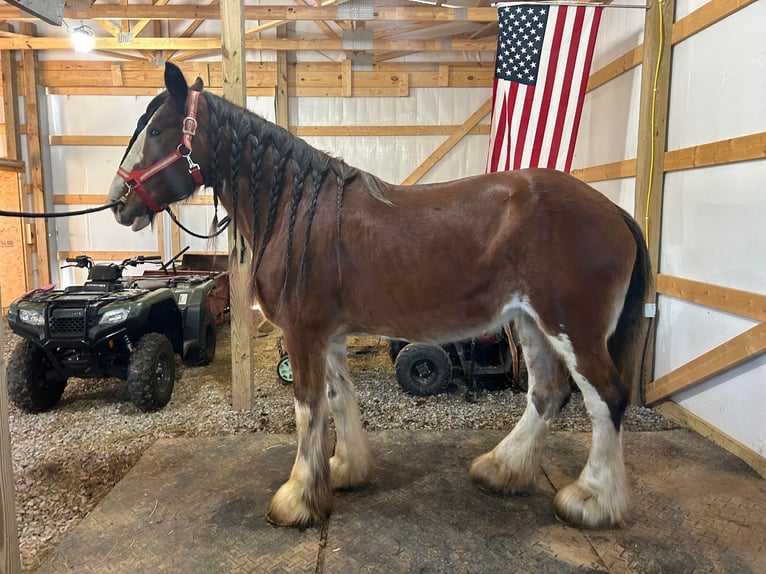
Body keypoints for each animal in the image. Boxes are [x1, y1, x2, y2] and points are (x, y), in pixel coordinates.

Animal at [109, 63, 656, 532]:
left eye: (156, 130)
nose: (118, 202)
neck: (295, 207)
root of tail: (614, 212)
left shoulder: (303, 333)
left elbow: (308, 407)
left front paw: (298, 499)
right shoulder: (327, 334)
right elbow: (339, 399)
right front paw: (344, 470)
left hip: (572, 329)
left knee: (606, 398)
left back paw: (592, 501)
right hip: (529, 323)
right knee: (546, 392)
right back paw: (503, 469)